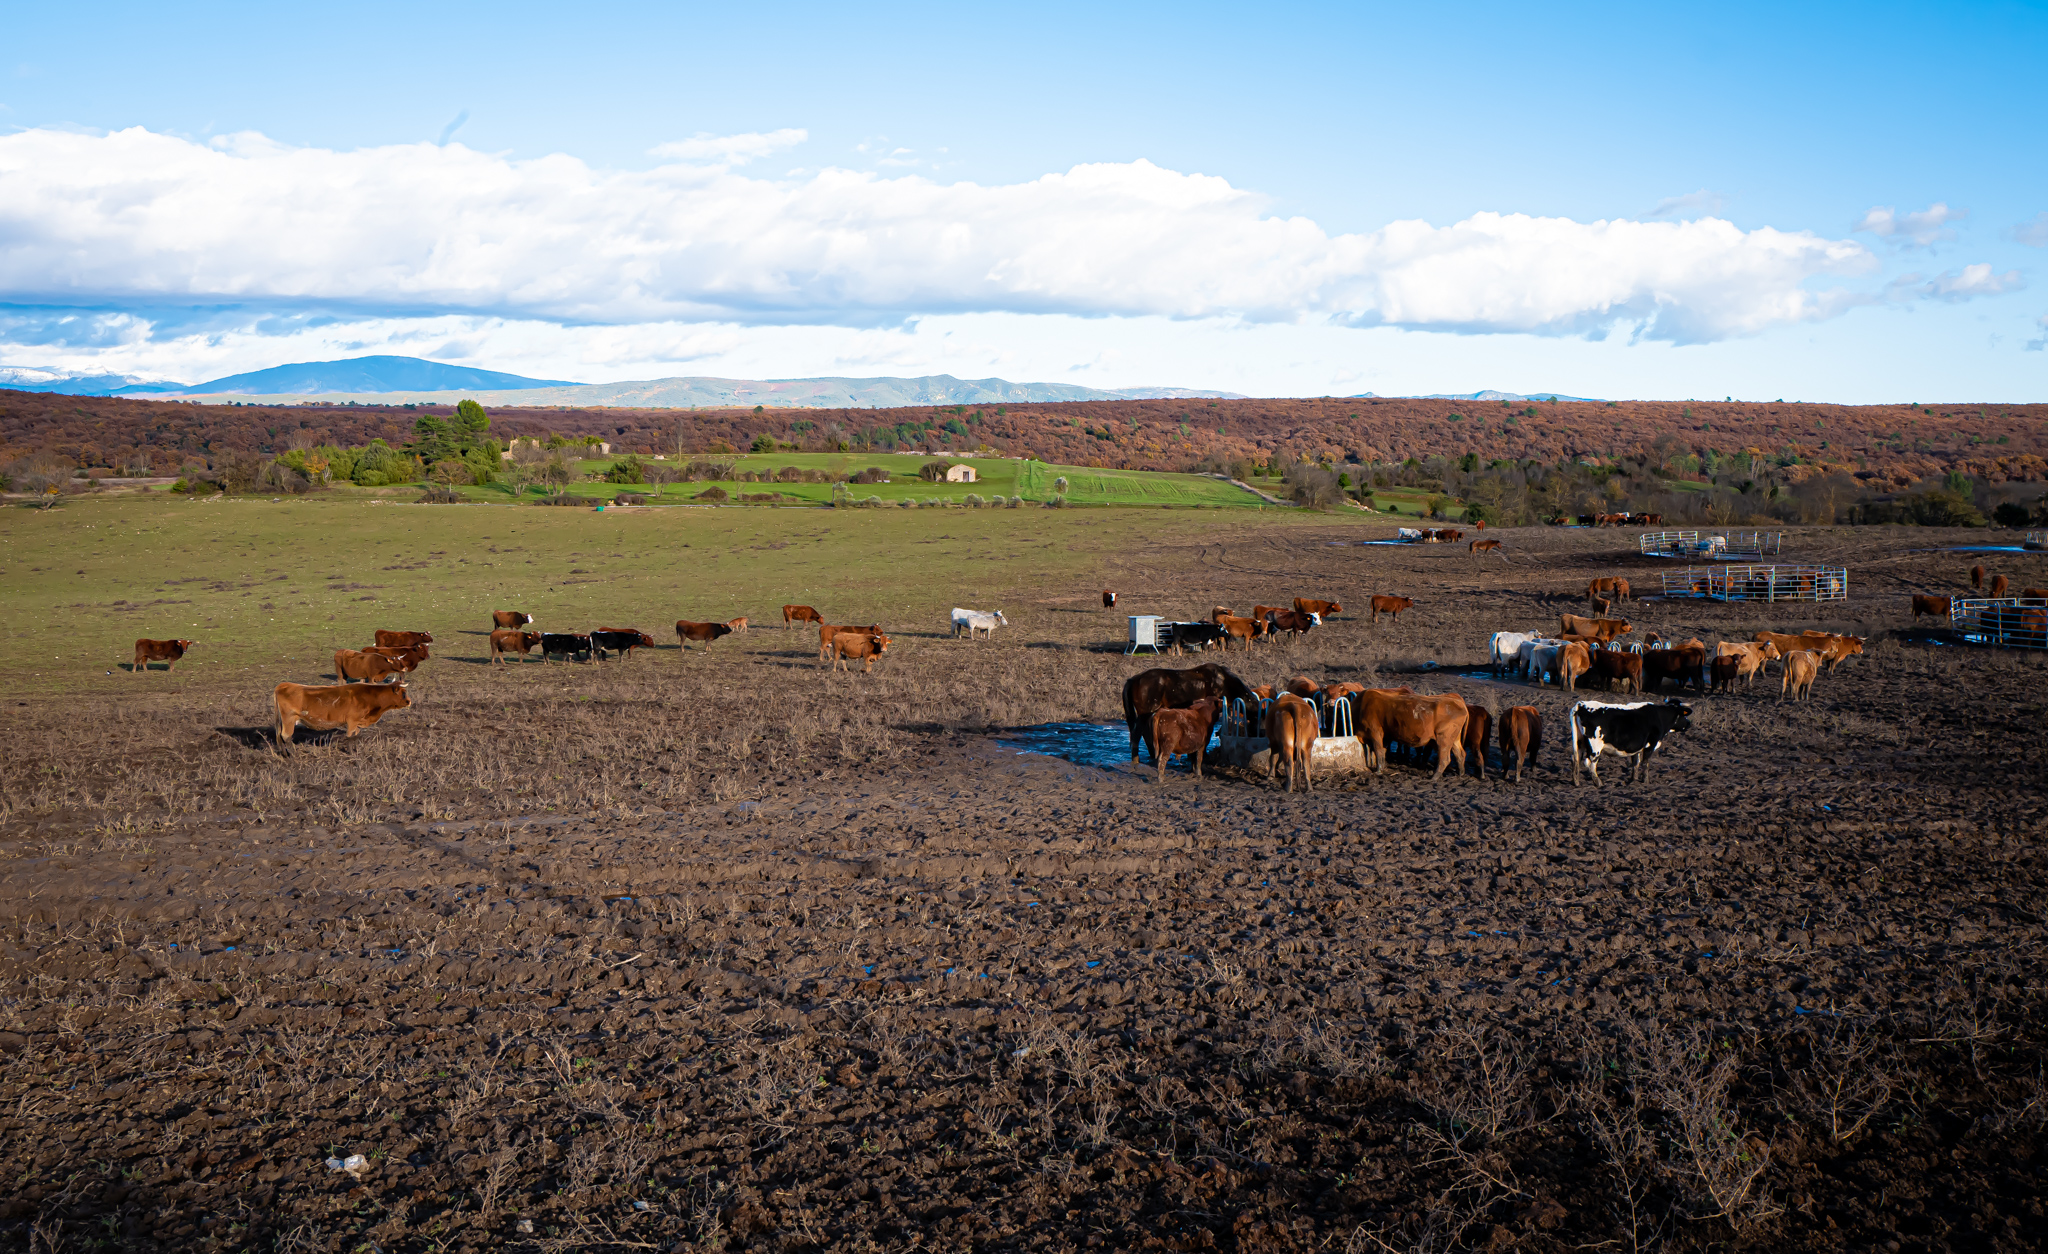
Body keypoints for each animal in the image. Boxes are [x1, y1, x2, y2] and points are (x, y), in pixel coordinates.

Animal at [276, 680, 411, 749]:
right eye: (403, 692)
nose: (409, 701)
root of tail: (283, 685)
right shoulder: (352, 721)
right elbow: (350, 737)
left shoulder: (357, 722)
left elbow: (356, 736)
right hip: (289, 718)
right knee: (286, 736)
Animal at [1564, 696, 1695, 782]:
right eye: (1683, 715)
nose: (1689, 723)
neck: (1659, 716)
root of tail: (1581, 705)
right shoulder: (1650, 744)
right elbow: (1645, 763)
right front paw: (1645, 781)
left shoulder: (1638, 746)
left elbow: (1635, 763)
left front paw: (1633, 780)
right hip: (1594, 746)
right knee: (1589, 762)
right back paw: (1598, 783)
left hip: (1579, 742)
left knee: (1575, 758)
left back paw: (1576, 782)